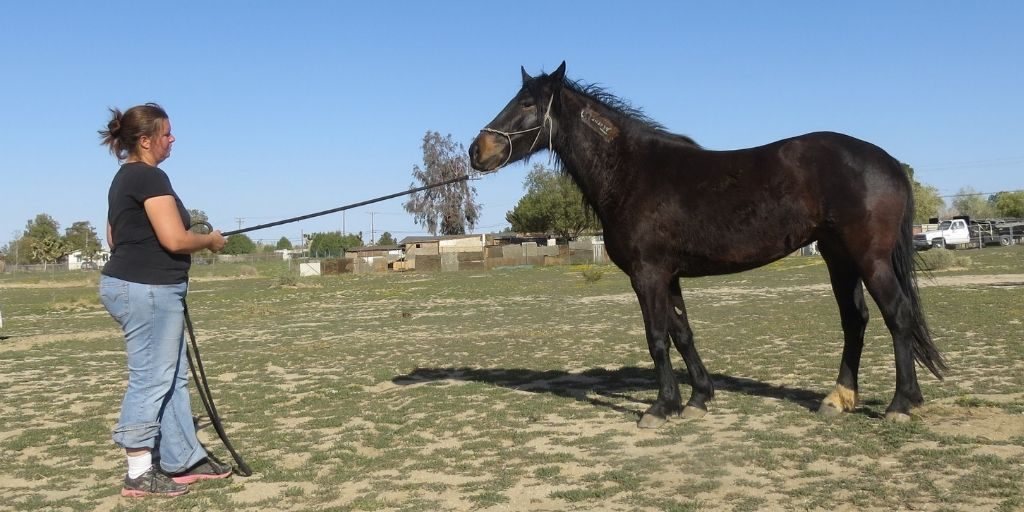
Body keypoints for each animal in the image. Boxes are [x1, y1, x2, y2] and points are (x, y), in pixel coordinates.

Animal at [468, 61, 942, 425]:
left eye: (527, 103)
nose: (477, 150)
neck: (632, 172)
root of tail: (887, 162)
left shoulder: (647, 275)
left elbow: (657, 337)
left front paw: (661, 407)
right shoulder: (669, 275)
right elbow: (682, 333)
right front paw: (698, 398)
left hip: (869, 258)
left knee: (898, 316)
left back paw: (901, 404)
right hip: (838, 257)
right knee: (855, 320)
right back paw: (838, 399)